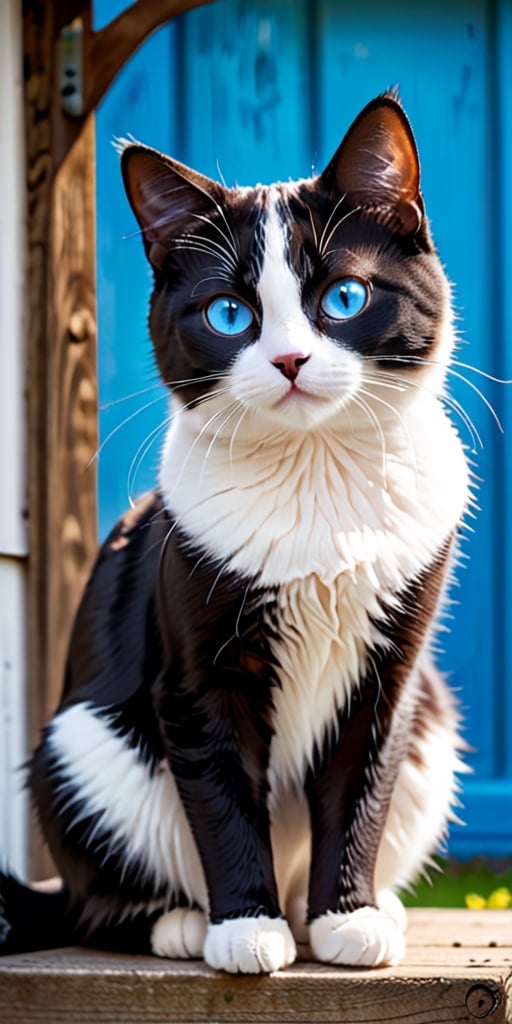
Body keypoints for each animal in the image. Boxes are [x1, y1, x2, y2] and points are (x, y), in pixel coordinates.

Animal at [0, 92, 468, 970]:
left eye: (345, 297)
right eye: (228, 313)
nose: (288, 360)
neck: (315, 475)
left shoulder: (391, 672)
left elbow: (361, 780)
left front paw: (348, 915)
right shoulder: (195, 668)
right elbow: (220, 791)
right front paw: (245, 927)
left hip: (435, 719)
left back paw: (346, 909)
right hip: (80, 747)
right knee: (87, 902)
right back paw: (181, 921)